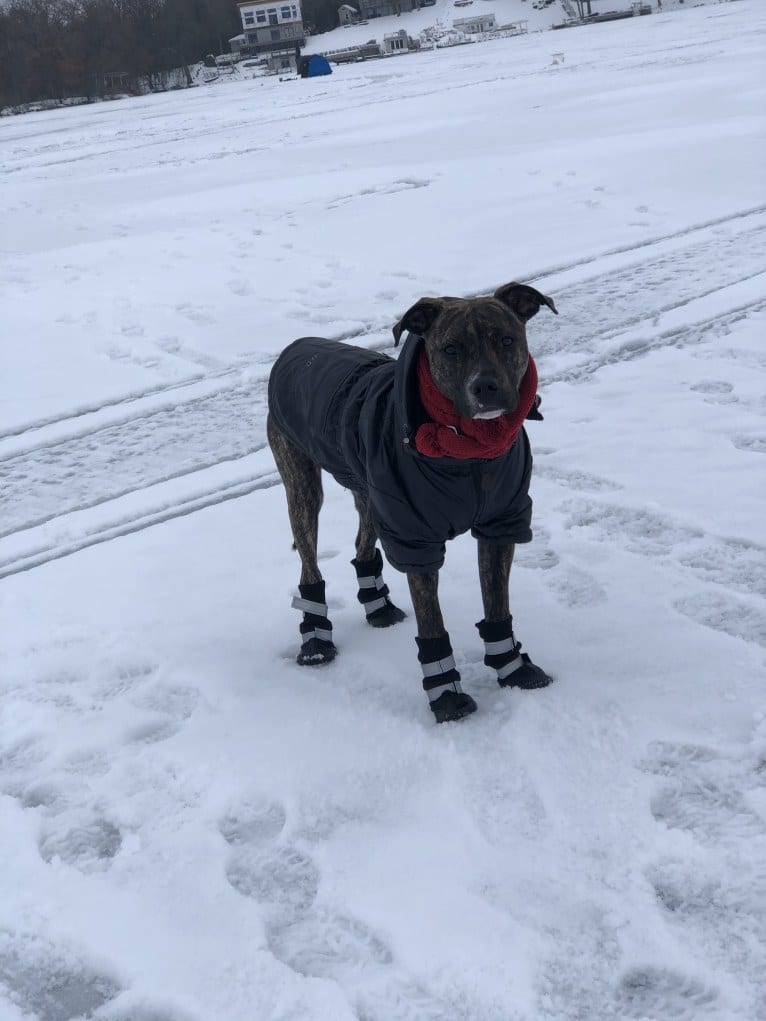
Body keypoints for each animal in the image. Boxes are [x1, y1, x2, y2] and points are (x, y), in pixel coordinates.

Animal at [267, 283, 559, 722]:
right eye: (450, 349)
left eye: (506, 340)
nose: (485, 386)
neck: (469, 452)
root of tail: (294, 347)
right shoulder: (415, 539)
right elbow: (432, 623)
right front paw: (448, 699)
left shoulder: (501, 523)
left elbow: (497, 603)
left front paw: (514, 671)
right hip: (302, 485)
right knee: (308, 562)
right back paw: (316, 642)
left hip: (371, 494)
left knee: (362, 543)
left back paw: (378, 609)